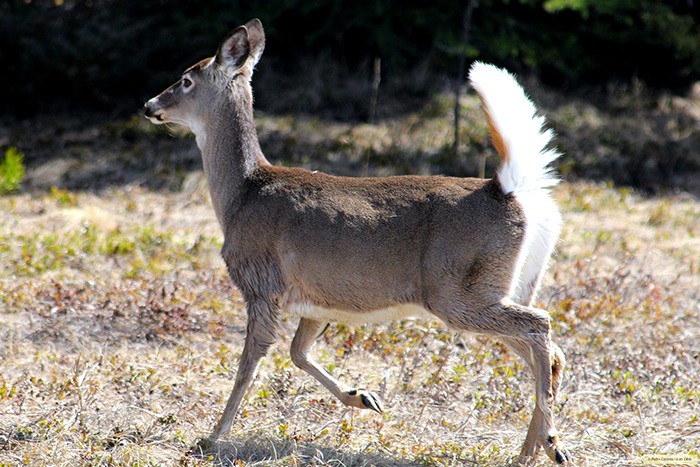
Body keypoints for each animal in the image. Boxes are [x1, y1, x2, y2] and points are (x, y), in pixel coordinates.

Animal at [145, 17, 572, 464]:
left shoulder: (261, 282)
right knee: (550, 351)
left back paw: (550, 441)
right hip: (508, 286)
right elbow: (298, 352)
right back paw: (534, 450)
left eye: (186, 80)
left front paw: (212, 437)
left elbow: (251, 361)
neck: (241, 195)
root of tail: (507, 190)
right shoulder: (316, 298)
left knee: (540, 328)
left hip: (459, 292)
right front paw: (363, 397)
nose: (149, 105)